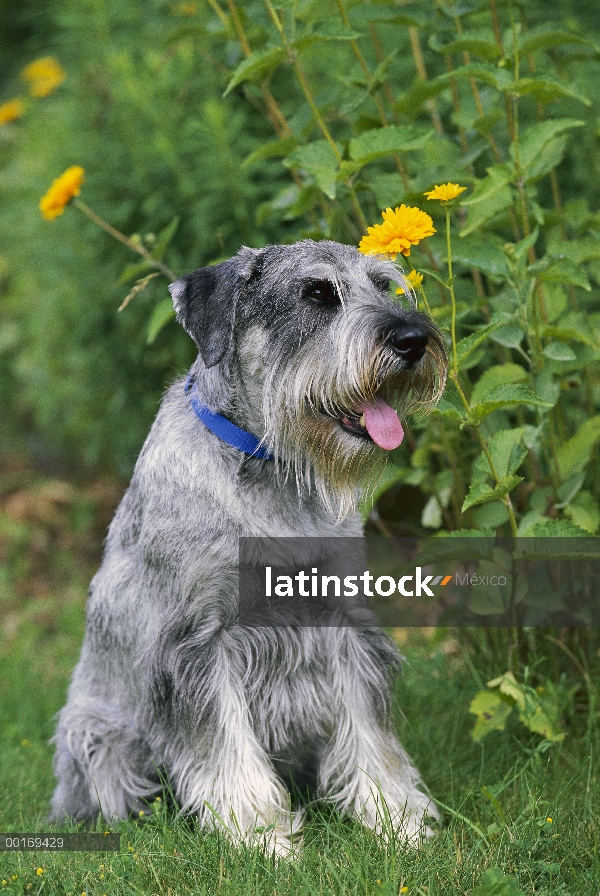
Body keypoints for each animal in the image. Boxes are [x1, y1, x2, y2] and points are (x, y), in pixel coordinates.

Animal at [50, 238, 446, 856]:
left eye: (384, 286)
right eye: (317, 293)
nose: (413, 339)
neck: (270, 469)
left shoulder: (344, 622)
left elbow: (370, 732)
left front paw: (397, 820)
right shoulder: (200, 643)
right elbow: (227, 750)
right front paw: (262, 840)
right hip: (93, 734)